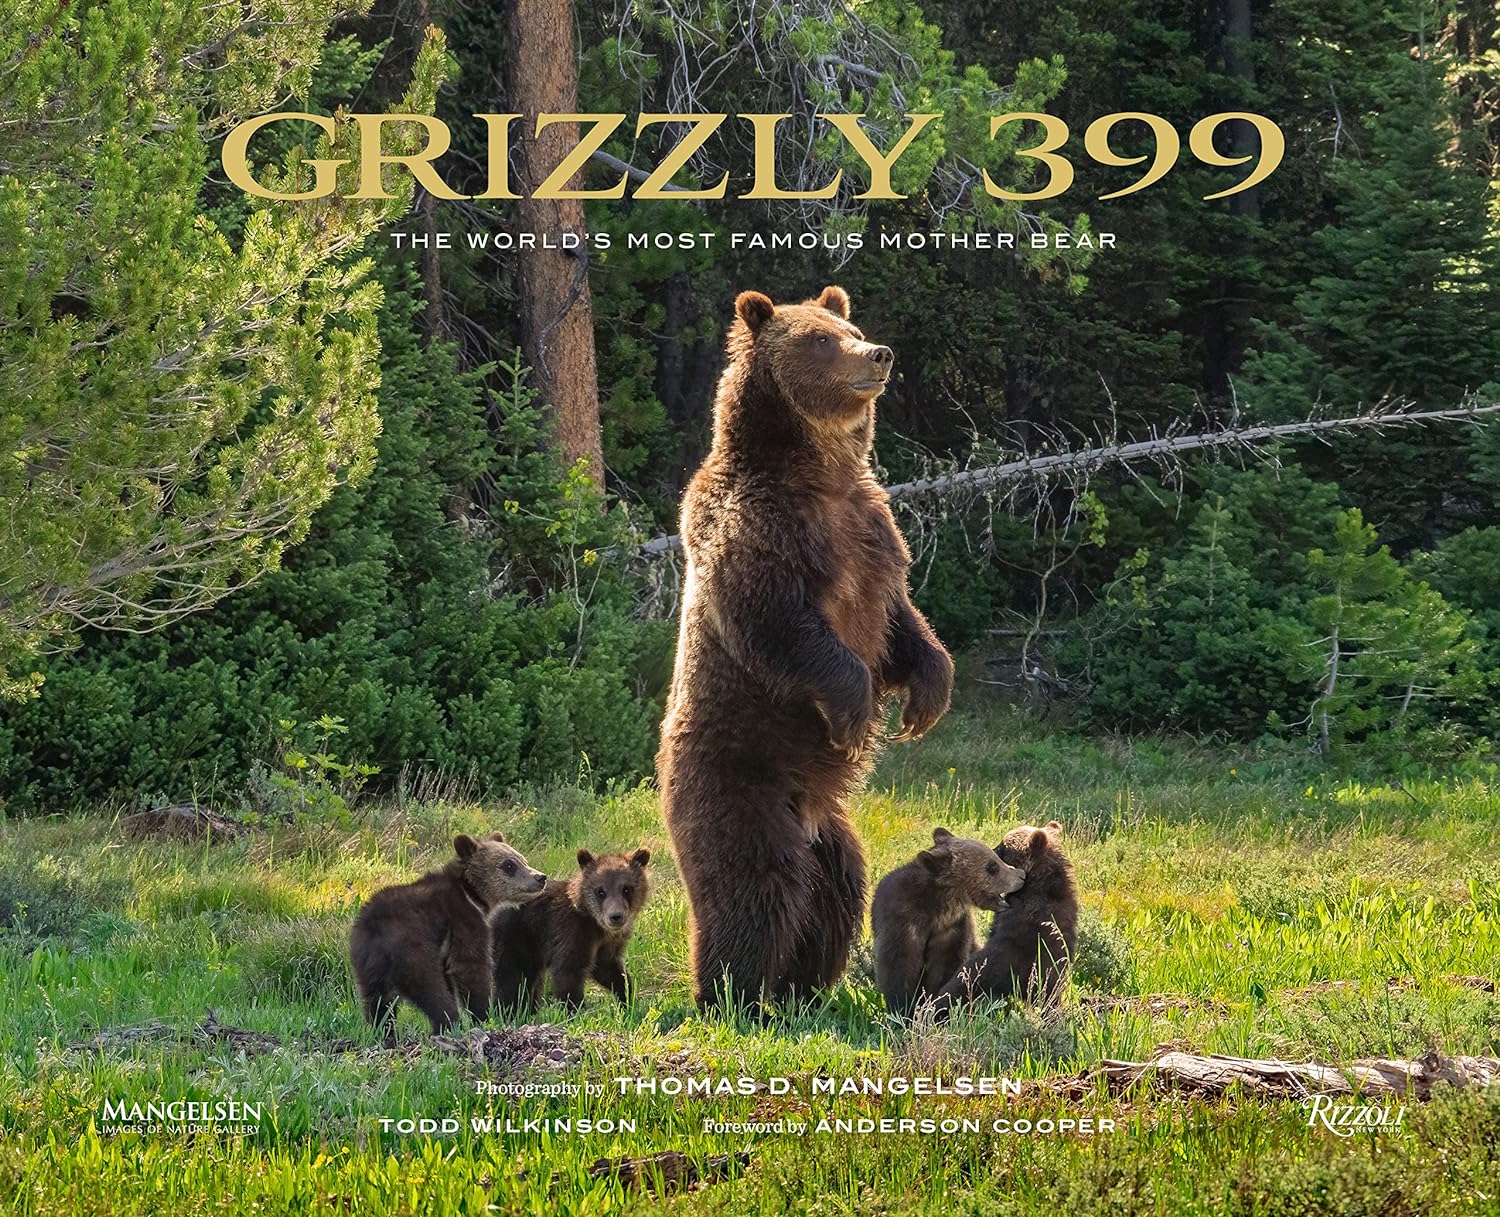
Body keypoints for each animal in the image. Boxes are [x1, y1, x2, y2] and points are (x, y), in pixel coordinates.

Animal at [349, 832, 546, 1042]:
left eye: (522, 859)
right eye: (509, 865)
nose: (540, 877)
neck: (472, 894)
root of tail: (377, 933)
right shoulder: (462, 921)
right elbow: (470, 968)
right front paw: (483, 1015)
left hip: (367, 964)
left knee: (377, 1001)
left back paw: (384, 1033)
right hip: (412, 951)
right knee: (432, 991)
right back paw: (448, 1024)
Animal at [491, 848, 651, 1012]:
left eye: (627, 889)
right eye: (600, 891)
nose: (615, 916)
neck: (596, 925)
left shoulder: (607, 944)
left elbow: (609, 969)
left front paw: (628, 999)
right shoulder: (569, 932)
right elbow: (568, 973)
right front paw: (576, 1009)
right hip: (513, 938)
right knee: (512, 979)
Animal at [656, 284, 954, 1010]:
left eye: (851, 326)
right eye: (820, 340)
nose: (879, 353)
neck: (820, 473)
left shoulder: (872, 530)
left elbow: (901, 622)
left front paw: (926, 698)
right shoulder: (759, 529)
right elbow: (781, 625)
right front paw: (854, 713)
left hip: (831, 831)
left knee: (836, 888)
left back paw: (805, 987)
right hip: (737, 781)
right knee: (756, 884)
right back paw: (731, 993)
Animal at [871, 827, 1026, 1016]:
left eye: (996, 857)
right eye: (992, 867)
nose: (1021, 875)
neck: (939, 908)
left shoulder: (952, 930)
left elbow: (945, 970)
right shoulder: (902, 924)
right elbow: (898, 971)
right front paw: (904, 1010)